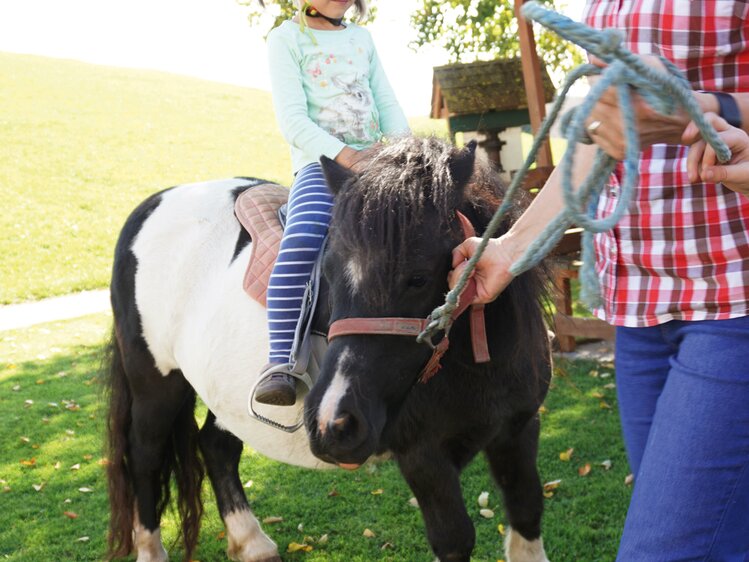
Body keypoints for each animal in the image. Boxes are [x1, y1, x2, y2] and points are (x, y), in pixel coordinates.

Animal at [103, 137, 548, 560]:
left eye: (420, 277)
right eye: (328, 273)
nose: (333, 421)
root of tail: (153, 204)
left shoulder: (518, 430)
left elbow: (527, 515)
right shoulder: (424, 457)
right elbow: (454, 539)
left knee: (216, 446)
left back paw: (252, 543)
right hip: (156, 385)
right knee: (144, 456)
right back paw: (152, 550)